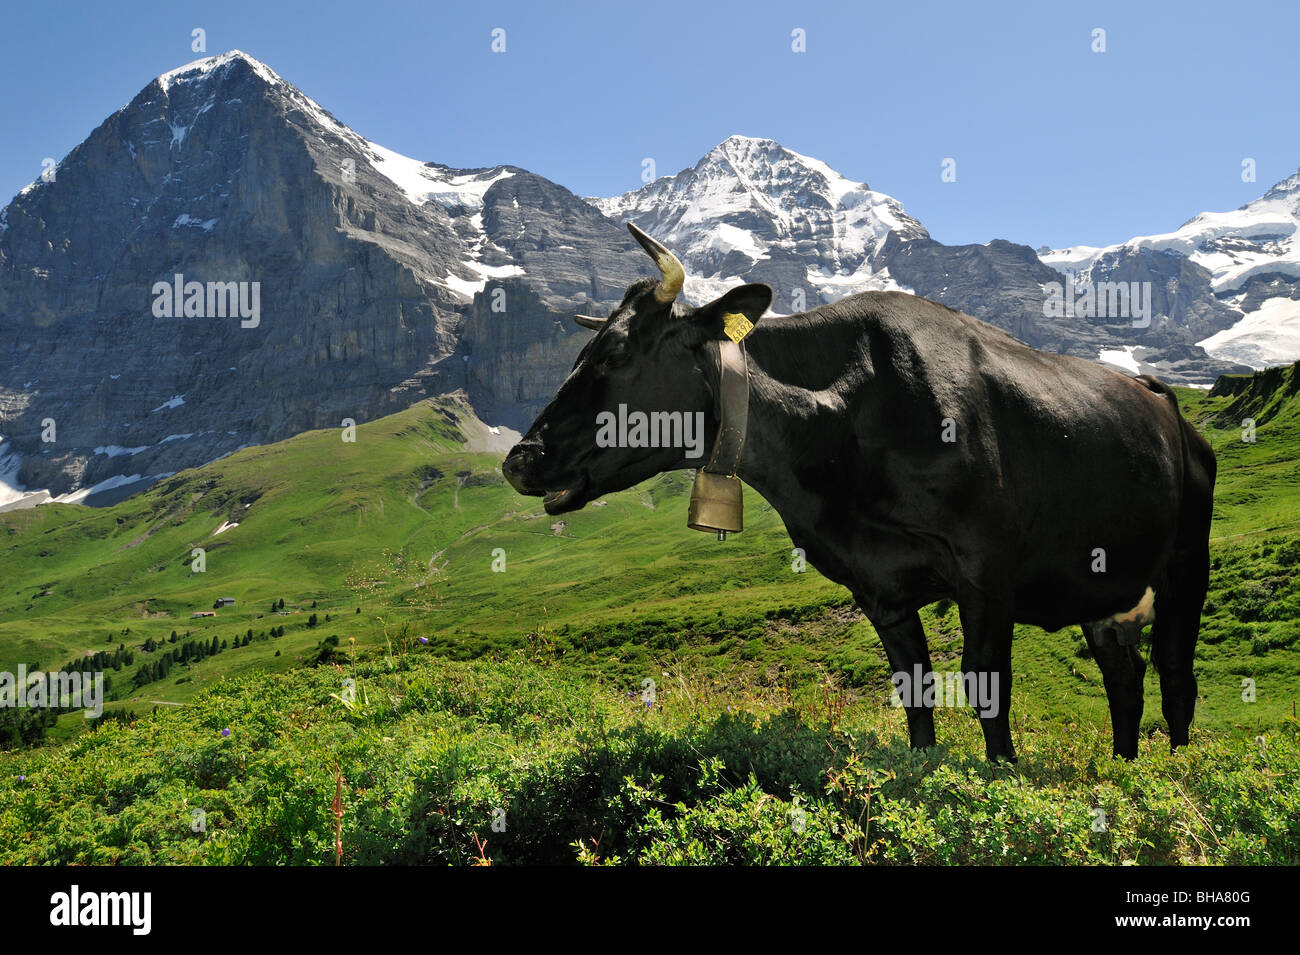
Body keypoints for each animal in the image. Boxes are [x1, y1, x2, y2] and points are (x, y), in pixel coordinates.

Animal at [501, 223, 1211, 764]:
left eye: (617, 353)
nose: (519, 460)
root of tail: (1162, 399)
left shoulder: (986, 565)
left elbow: (987, 681)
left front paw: (1003, 777)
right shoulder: (877, 586)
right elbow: (914, 688)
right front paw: (925, 773)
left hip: (1186, 565)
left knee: (1176, 675)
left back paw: (1176, 777)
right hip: (1103, 590)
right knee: (1126, 679)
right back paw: (1121, 771)